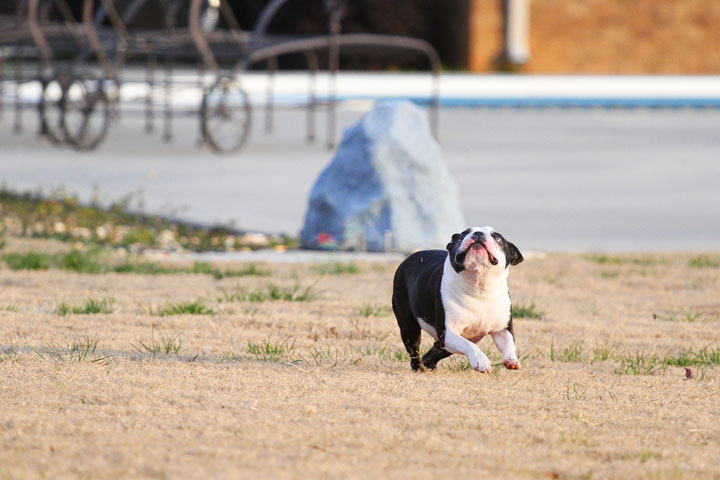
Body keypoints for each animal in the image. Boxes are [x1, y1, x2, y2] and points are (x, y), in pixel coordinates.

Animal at [394, 227, 524, 374]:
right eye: (461, 236)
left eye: (497, 237)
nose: (478, 233)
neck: (480, 288)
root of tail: (410, 257)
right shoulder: (448, 333)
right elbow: (469, 345)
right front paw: (481, 361)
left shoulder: (502, 329)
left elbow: (509, 343)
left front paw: (511, 359)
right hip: (408, 325)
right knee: (414, 349)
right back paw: (418, 368)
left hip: (444, 344)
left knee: (436, 351)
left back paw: (429, 365)